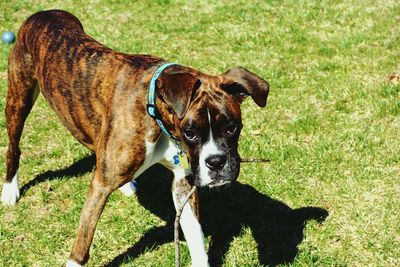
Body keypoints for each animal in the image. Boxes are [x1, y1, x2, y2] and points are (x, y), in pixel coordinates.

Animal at [1, 9, 268, 266]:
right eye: (190, 133)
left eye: (232, 128)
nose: (216, 162)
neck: (154, 109)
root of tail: (42, 13)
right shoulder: (99, 188)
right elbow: (83, 243)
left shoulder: (183, 183)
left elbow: (196, 241)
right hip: (19, 100)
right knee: (13, 147)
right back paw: (10, 189)